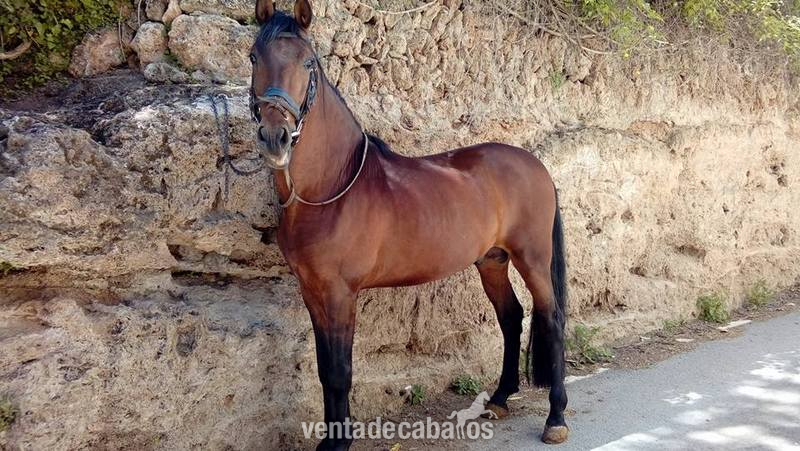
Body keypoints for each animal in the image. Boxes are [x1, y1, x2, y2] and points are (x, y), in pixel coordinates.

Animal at [248, 1, 568, 449]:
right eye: (253, 57)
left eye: (308, 62)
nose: (274, 137)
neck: (332, 189)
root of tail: (535, 165)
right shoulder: (312, 291)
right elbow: (325, 369)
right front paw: (330, 438)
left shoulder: (340, 294)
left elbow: (340, 371)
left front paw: (339, 442)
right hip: (492, 260)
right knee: (511, 317)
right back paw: (500, 398)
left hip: (532, 258)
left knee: (552, 320)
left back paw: (556, 417)